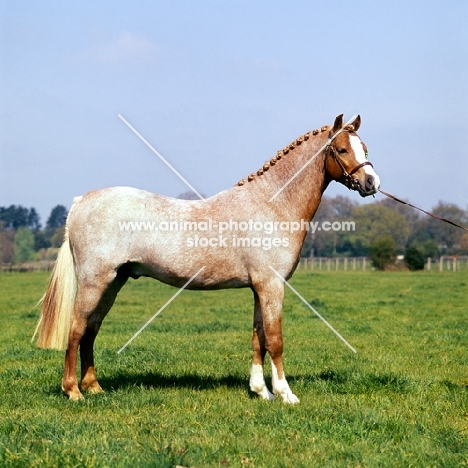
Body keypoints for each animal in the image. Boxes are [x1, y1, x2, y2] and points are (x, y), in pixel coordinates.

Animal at [35, 113, 380, 402]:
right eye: (342, 149)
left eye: (364, 147)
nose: (371, 183)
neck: (271, 204)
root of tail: (82, 201)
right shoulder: (272, 285)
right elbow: (275, 340)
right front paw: (285, 394)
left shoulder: (259, 287)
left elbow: (258, 338)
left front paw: (261, 391)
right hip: (95, 281)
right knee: (77, 328)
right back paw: (73, 391)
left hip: (114, 282)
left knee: (91, 329)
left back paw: (93, 387)